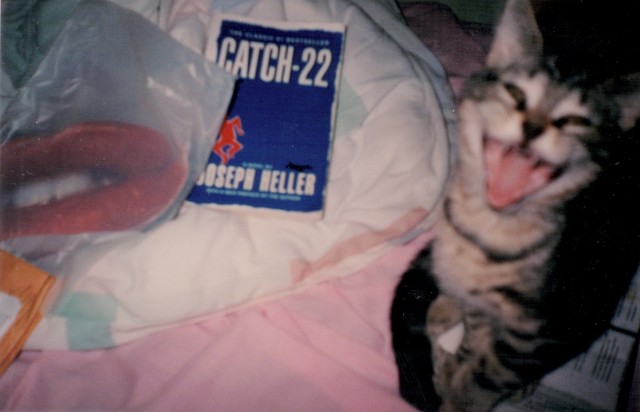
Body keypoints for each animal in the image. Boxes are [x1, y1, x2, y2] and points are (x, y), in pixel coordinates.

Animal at [390, 0, 640, 411]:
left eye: (575, 120)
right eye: (515, 93)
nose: (533, 128)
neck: (484, 232)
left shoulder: (541, 332)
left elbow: (485, 378)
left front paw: (457, 396)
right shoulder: (481, 304)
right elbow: (476, 336)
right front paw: (455, 362)